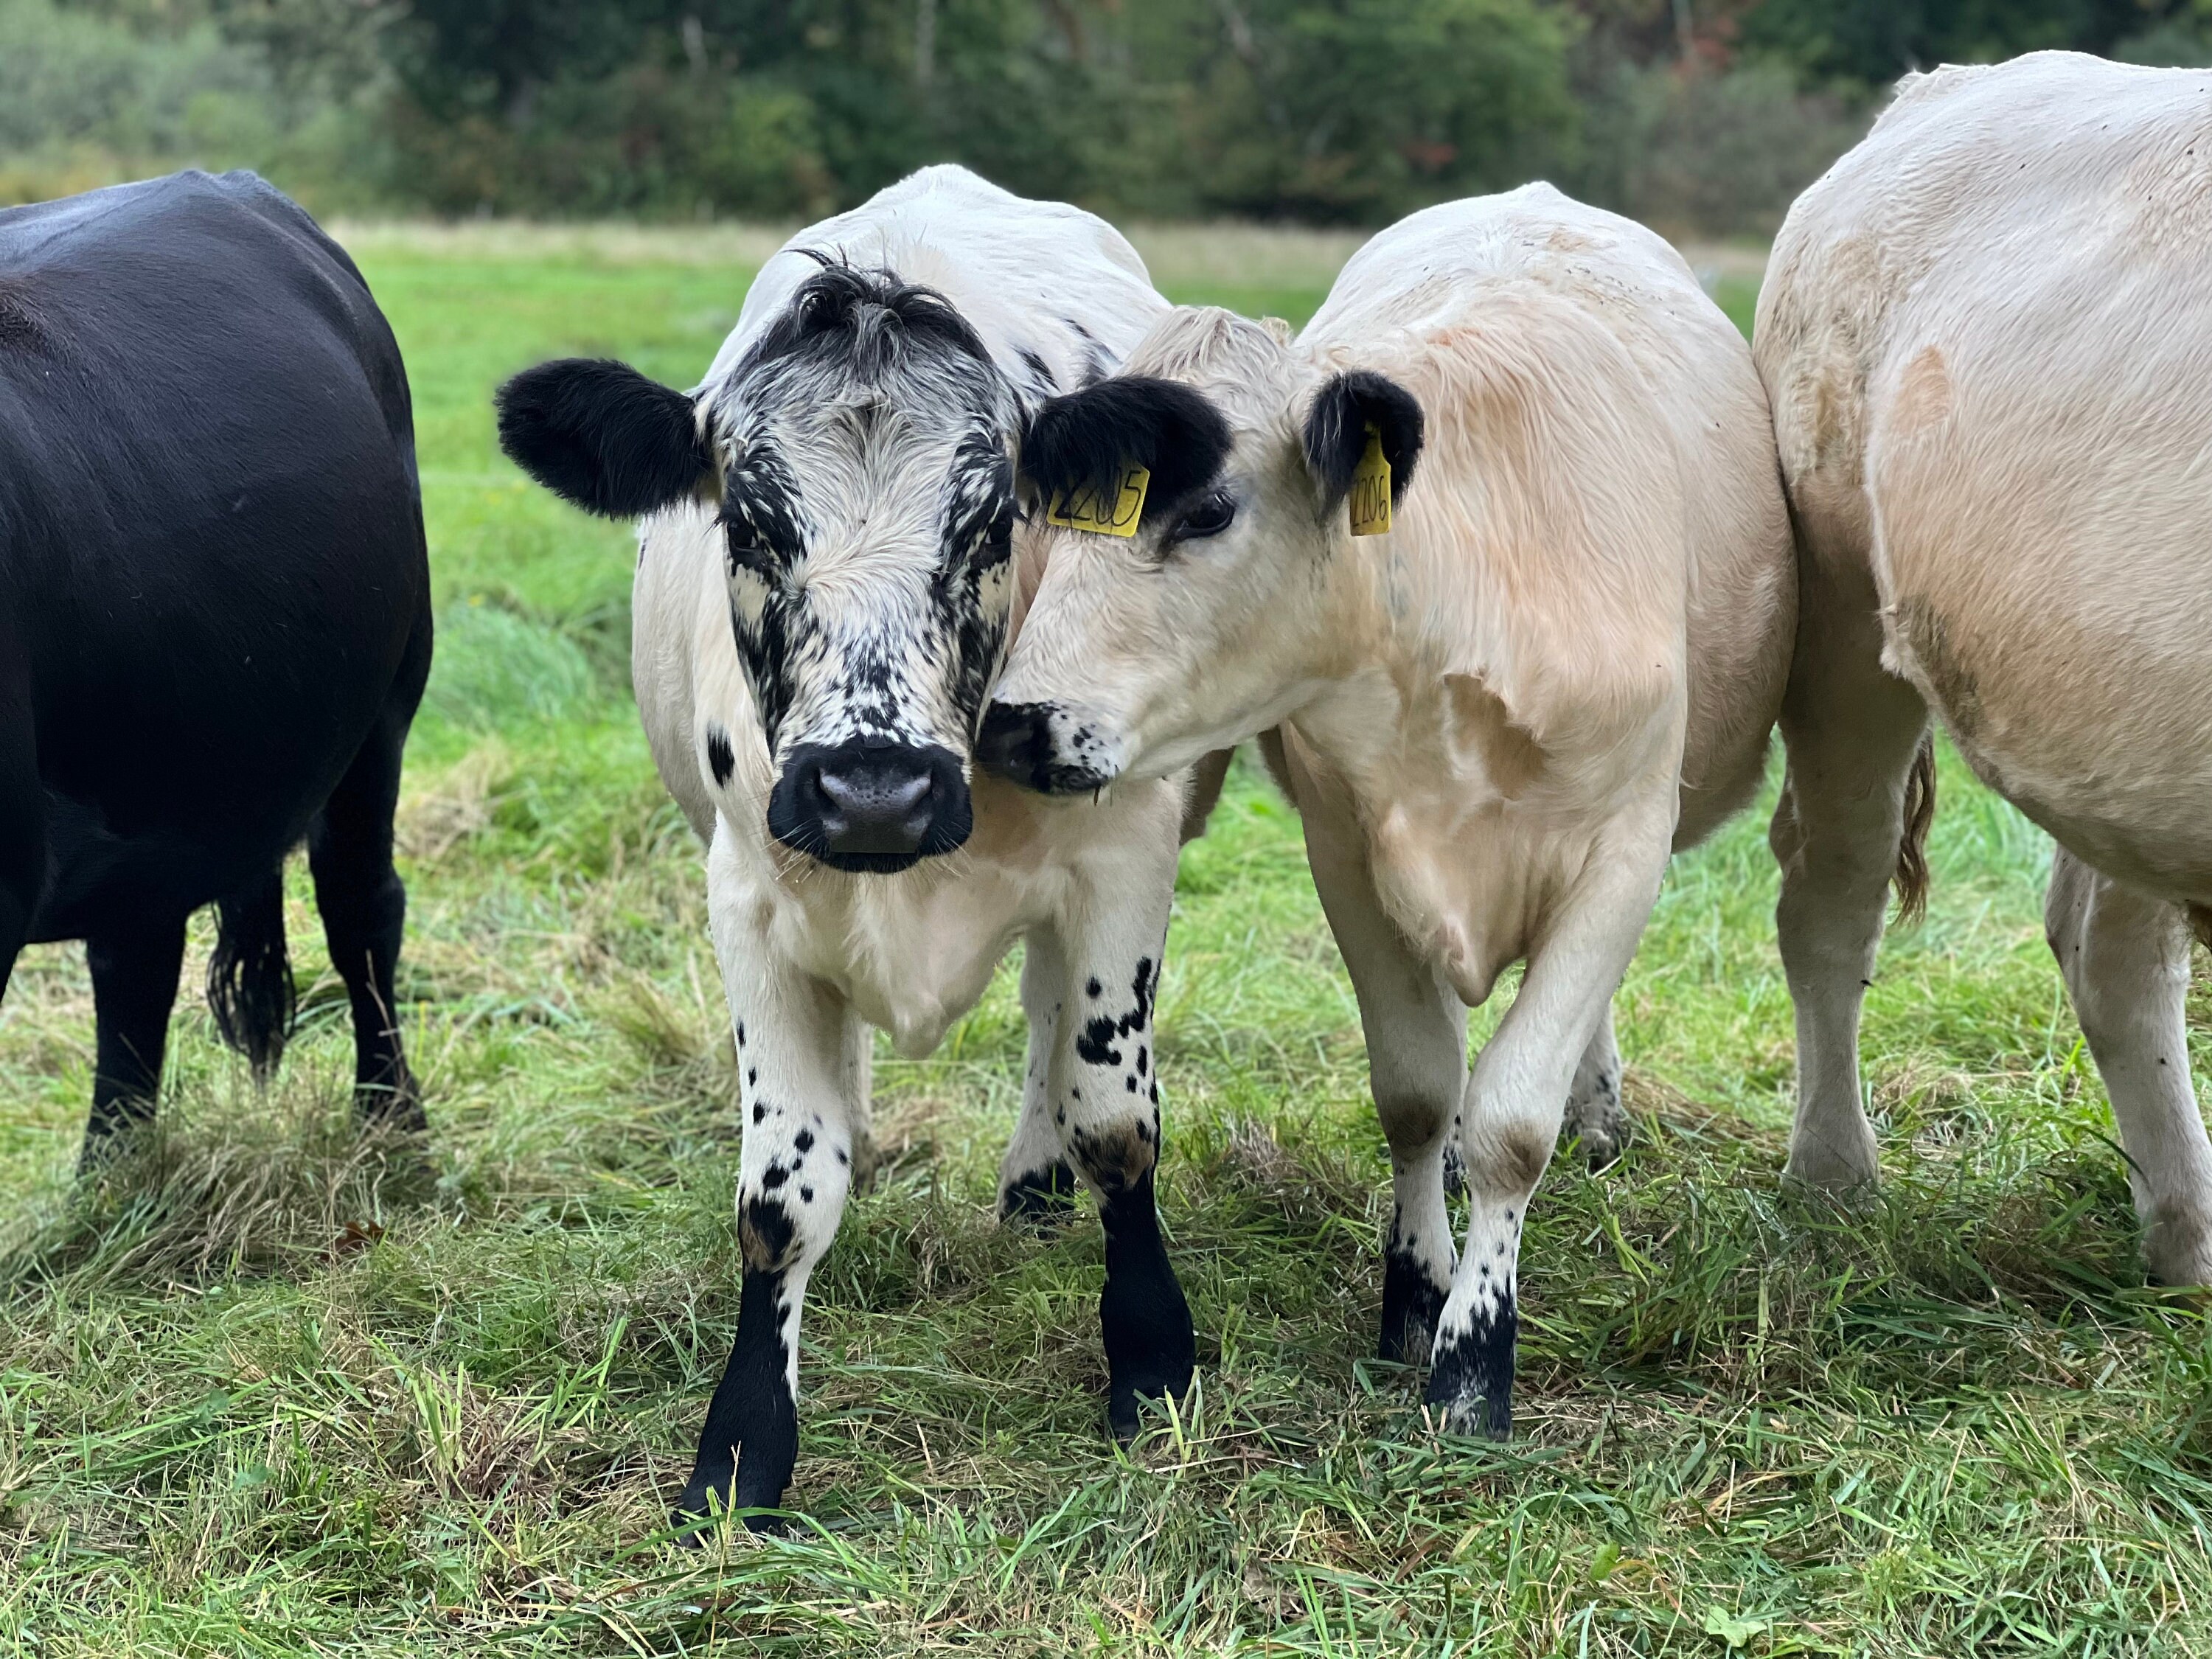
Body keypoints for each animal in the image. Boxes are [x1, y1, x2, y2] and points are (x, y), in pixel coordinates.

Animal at [495, 166, 1201, 1529]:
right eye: (750, 525)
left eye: (989, 522)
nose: (875, 794)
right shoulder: (750, 902)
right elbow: (783, 1192)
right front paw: (740, 1446)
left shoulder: (1125, 854)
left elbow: (1114, 1119)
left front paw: (1149, 1360)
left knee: (1049, 1015)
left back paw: (1035, 1188)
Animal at [980, 184, 1795, 1435]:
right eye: (1045, 518)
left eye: (1207, 511)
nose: (1016, 724)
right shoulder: (1350, 861)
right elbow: (1417, 1092)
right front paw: (1416, 1293)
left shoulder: (1622, 852)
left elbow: (1514, 1119)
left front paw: (1474, 1358)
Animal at [1755, 51, 2212, 1286]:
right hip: (1841, 620)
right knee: (1833, 892)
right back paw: (1833, 1179)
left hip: (2117, 719)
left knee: (2109, 951)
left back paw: (2185, 1237)